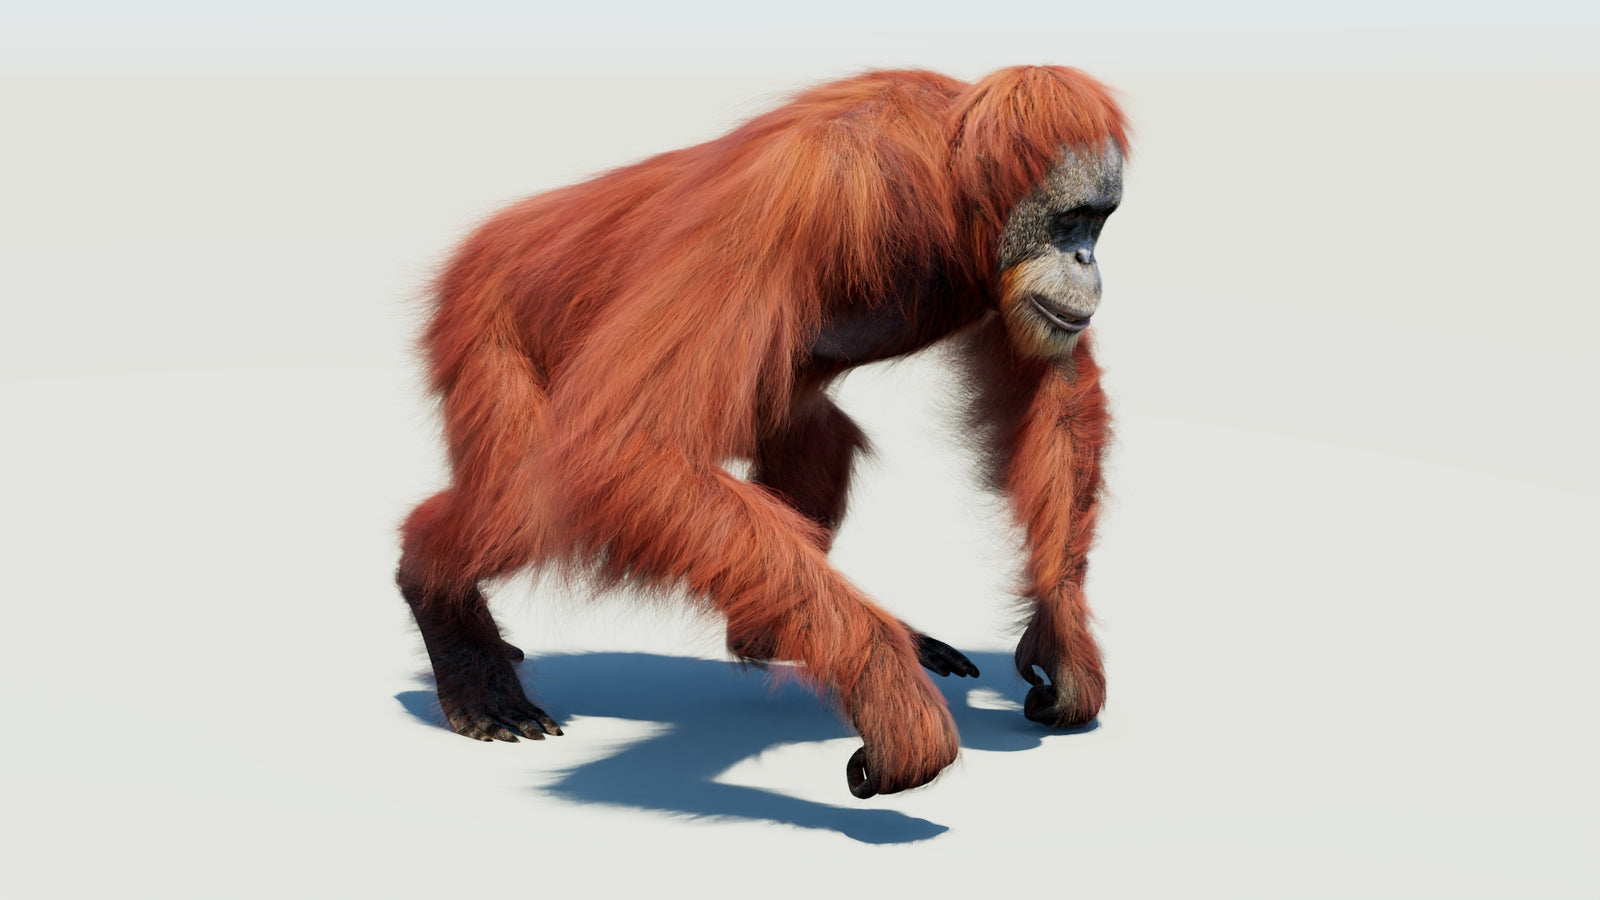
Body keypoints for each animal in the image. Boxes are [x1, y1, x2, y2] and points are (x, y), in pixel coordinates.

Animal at [397, 66, 1126, 799]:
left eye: (1099, 222)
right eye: (1070, 220)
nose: (1087, 260)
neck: (943, 188)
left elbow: (1053, 388)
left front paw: (1062, 637)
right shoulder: (803, 195)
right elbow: (628, 445)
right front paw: (888, 691)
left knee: (818, 443)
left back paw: (769, 637)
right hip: (485, 324)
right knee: (527, 506)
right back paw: (443, 607)